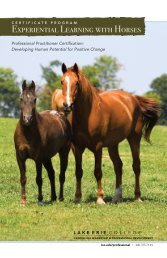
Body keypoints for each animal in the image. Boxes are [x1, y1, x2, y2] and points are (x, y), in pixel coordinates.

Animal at [60, 62, 160, 204]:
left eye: (77, 83)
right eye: (62, 81)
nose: (67, 106)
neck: (87, 115)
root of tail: (133, 98)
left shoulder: (98, 147)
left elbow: (97, 171)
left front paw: (100, 199)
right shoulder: (76, 147)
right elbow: (78, 171)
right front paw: (77, 198)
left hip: (134, 138)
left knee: (136, 166)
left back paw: (137, 197)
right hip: (113, 145)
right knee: (118, 165)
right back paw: (117, 197)